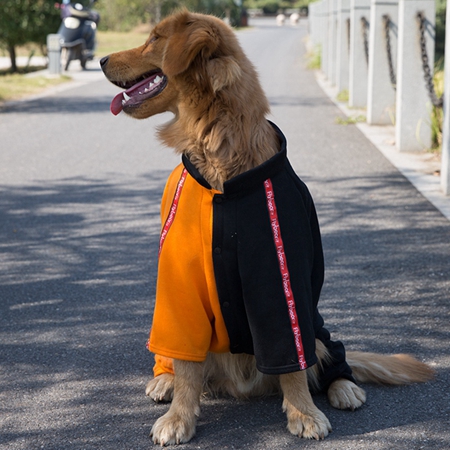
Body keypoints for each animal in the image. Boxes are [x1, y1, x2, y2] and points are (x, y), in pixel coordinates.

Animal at [101, 10, 432, 446]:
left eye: (154, 39)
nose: (101, 59)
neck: (220, 158)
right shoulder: (179, 286)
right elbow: (188, 367)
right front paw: (179, 417)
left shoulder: (279, 277)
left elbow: (292, 362)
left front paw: (303, 413)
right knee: (179, 363)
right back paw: (165, 381)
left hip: (318, 326)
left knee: (330, 356)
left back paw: (343, 386)